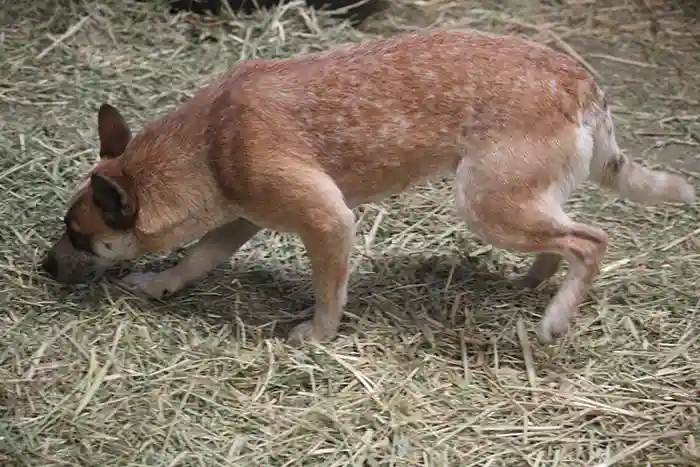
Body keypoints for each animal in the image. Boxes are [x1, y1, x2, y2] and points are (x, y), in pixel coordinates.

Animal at [42, 27, 696, 346]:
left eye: (78, 233)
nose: (43, 268)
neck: (208, 143)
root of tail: (581, 80)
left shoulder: (327, 220)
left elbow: (329, 292)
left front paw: (317, 336)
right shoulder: (243, 215)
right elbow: (197, 258)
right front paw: (159, 284)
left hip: (486, 203)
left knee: (591, 240)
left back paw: (556, 319)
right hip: (517, 202)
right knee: (561, 240)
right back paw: (532, 283)